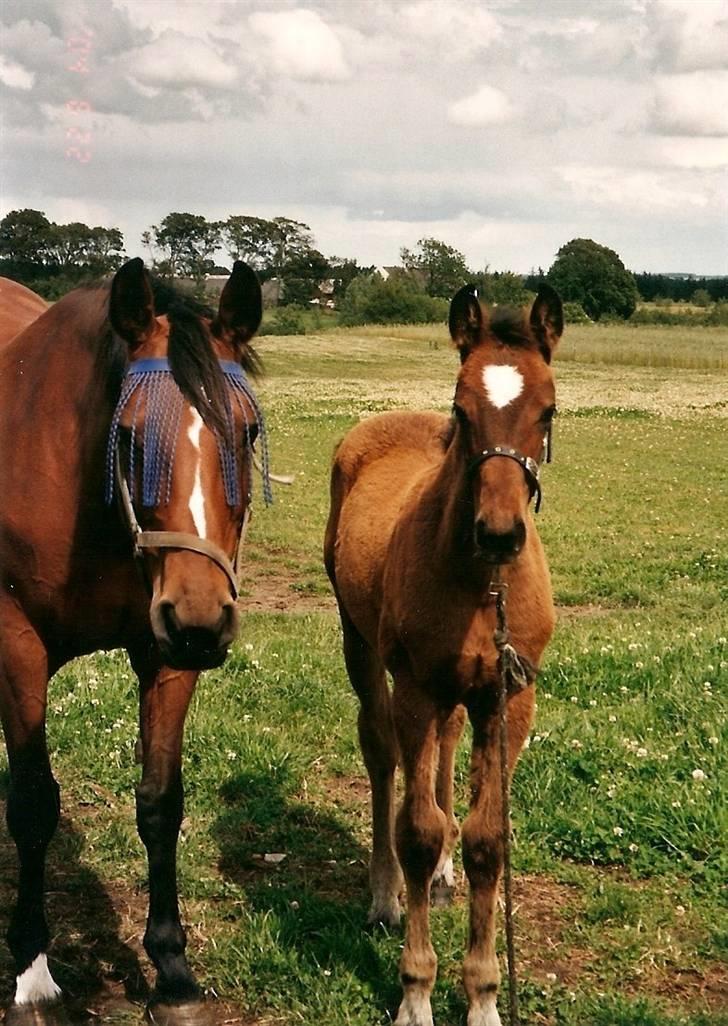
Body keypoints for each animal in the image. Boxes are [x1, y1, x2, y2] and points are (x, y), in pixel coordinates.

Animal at [0, 262, 268, 1026]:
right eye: (129, 437)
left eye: (247, 432)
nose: (203, 622)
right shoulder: (16, 645)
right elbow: (33, 803)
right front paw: (32, 971)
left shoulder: (164, 653)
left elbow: (160, 803)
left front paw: (172, 967)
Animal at [326, 285, 565, 1026]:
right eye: (462, 410)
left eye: (548, 410)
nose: (499, 533)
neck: (480, 582)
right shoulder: (416, 686)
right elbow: (419, 829)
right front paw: (417, 992)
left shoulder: (509, 695)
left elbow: (488, 837)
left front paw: (484, 996)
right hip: (362, 648)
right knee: (384, 757)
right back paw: (386, 894)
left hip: (458, 695)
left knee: (442, 753)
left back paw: (440, 879)